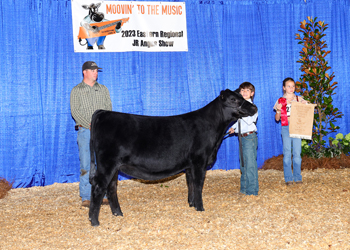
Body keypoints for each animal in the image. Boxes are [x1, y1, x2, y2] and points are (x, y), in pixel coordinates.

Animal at [87, 89, 258, 226]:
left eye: (241, 96)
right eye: (234, 99)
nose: (254, 107)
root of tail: (103, 112)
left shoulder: (190, 165)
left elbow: (190, 184)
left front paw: (191, 204)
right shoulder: (199, 161)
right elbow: (198, 185)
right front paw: (200, 208)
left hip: (114, 166)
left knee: (111, 187)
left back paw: (118, 214)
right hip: (106, 163)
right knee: (99, 187)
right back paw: (94, 221)